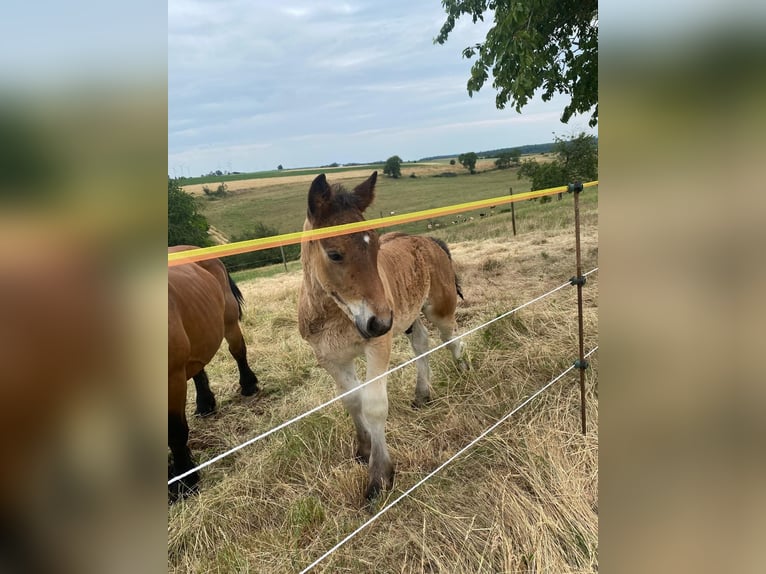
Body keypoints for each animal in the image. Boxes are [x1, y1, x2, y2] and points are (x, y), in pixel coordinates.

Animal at [166, 245, 260, 502]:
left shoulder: (172, 379)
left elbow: (175, 432)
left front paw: (184, 480)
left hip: (229, 322)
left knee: (238, 351)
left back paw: (248, 385)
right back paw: (205, 404)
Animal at [298, 173, 468, 502]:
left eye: (376, 247)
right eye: (334, 254)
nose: (380, 322)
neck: (334, 314)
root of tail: (428, 240)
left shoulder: (377, 345)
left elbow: (374, 405)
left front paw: (380, 477)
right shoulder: (329, 357)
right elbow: (351, 400)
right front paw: (363, 449)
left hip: (437, 310)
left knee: (452, 338)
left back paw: (465, 370)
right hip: (409, 318)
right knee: (421, 343)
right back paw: (422, 394)